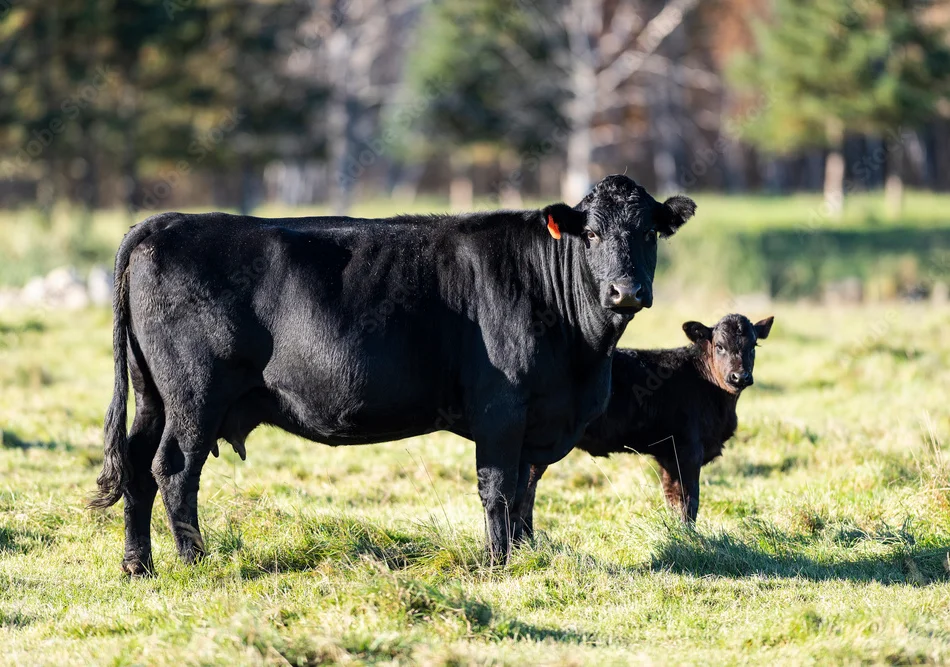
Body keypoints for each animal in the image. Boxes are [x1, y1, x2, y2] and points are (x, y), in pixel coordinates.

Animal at [90, 175, 696, 575]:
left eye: (648, 233)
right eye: (590, 234)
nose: (625, 290)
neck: (583, 361)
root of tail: (167, 221)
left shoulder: (540, 423)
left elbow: (526, 490)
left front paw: (526, 555)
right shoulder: (501, 409)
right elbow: (499, 488)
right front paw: (498, 564)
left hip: (153, 396)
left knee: (138, 468)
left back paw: (137, 566)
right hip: (195, 396)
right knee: (173, 469)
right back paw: (196, 562)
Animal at [517, 313, 774, 535]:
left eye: (753, 346)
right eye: (719, 346)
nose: (739, 377)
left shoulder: (668, 456)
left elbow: (673, 499)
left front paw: (679, 535)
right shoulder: (688, 450)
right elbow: (690, 501)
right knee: (526, 490)